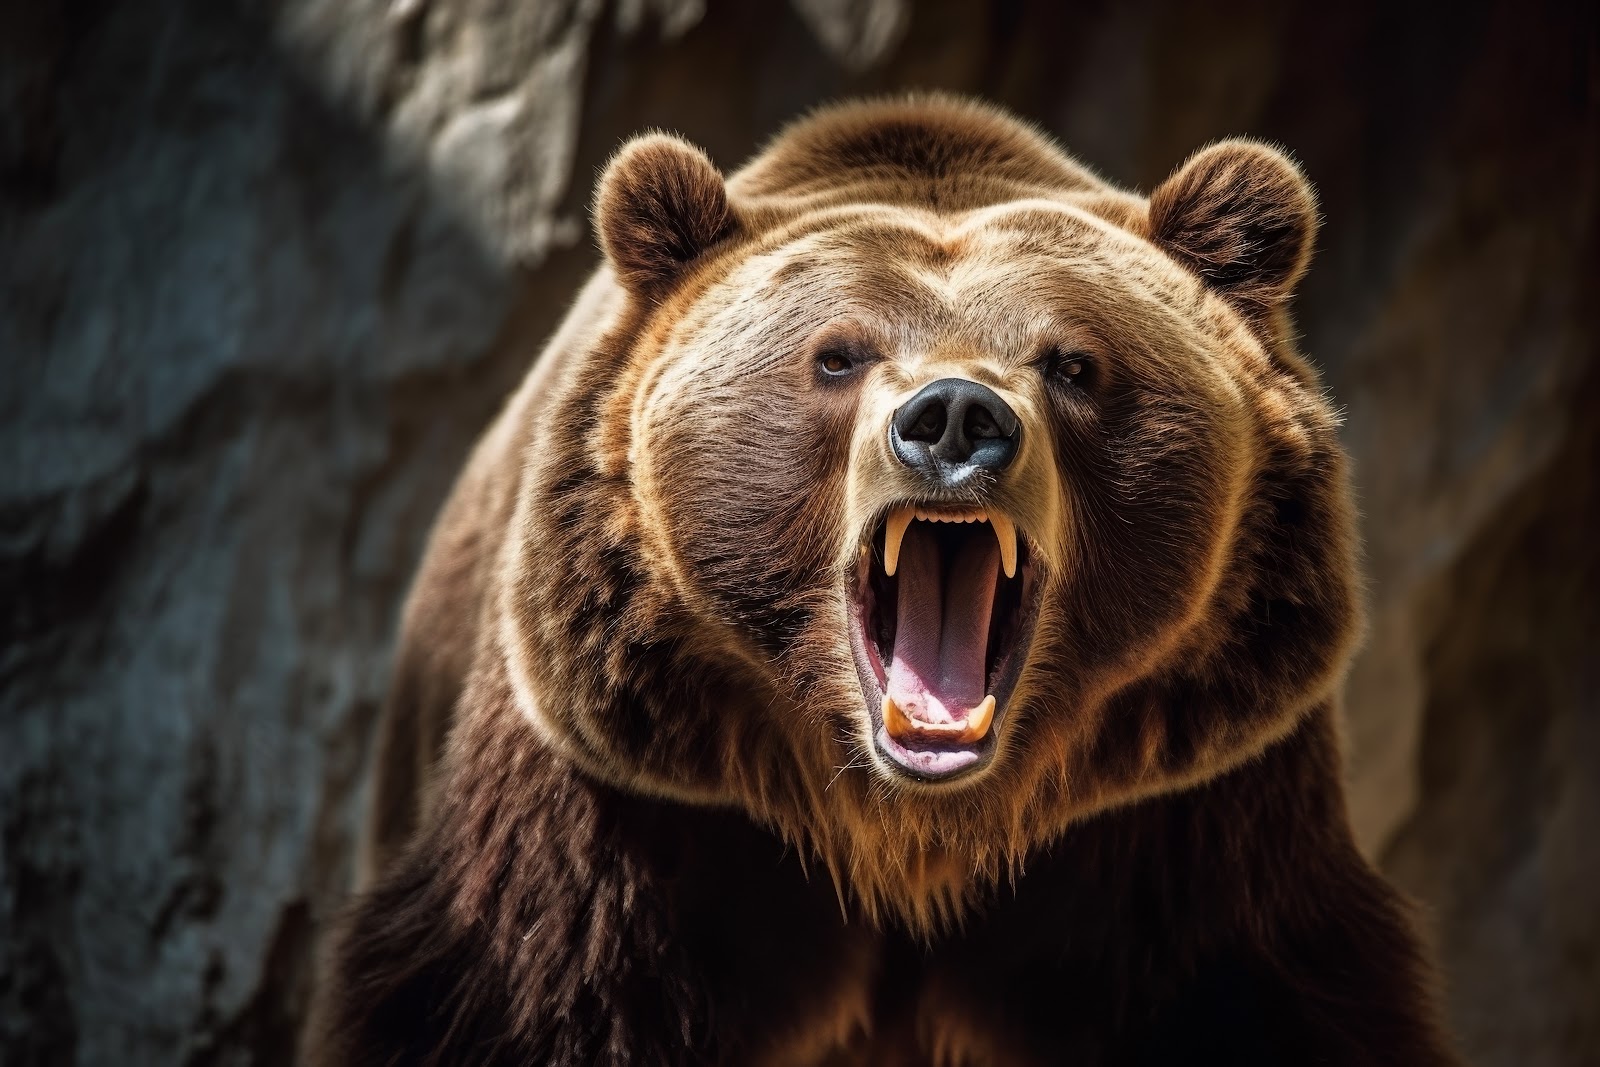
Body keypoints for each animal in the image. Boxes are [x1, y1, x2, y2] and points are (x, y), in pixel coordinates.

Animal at [308, 95, 1461, 1066]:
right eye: (837, 354)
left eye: (1072, 361)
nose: (954, 417)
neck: (912, 833)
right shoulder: (626, 811)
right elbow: (536, 996)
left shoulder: (1189, 817)